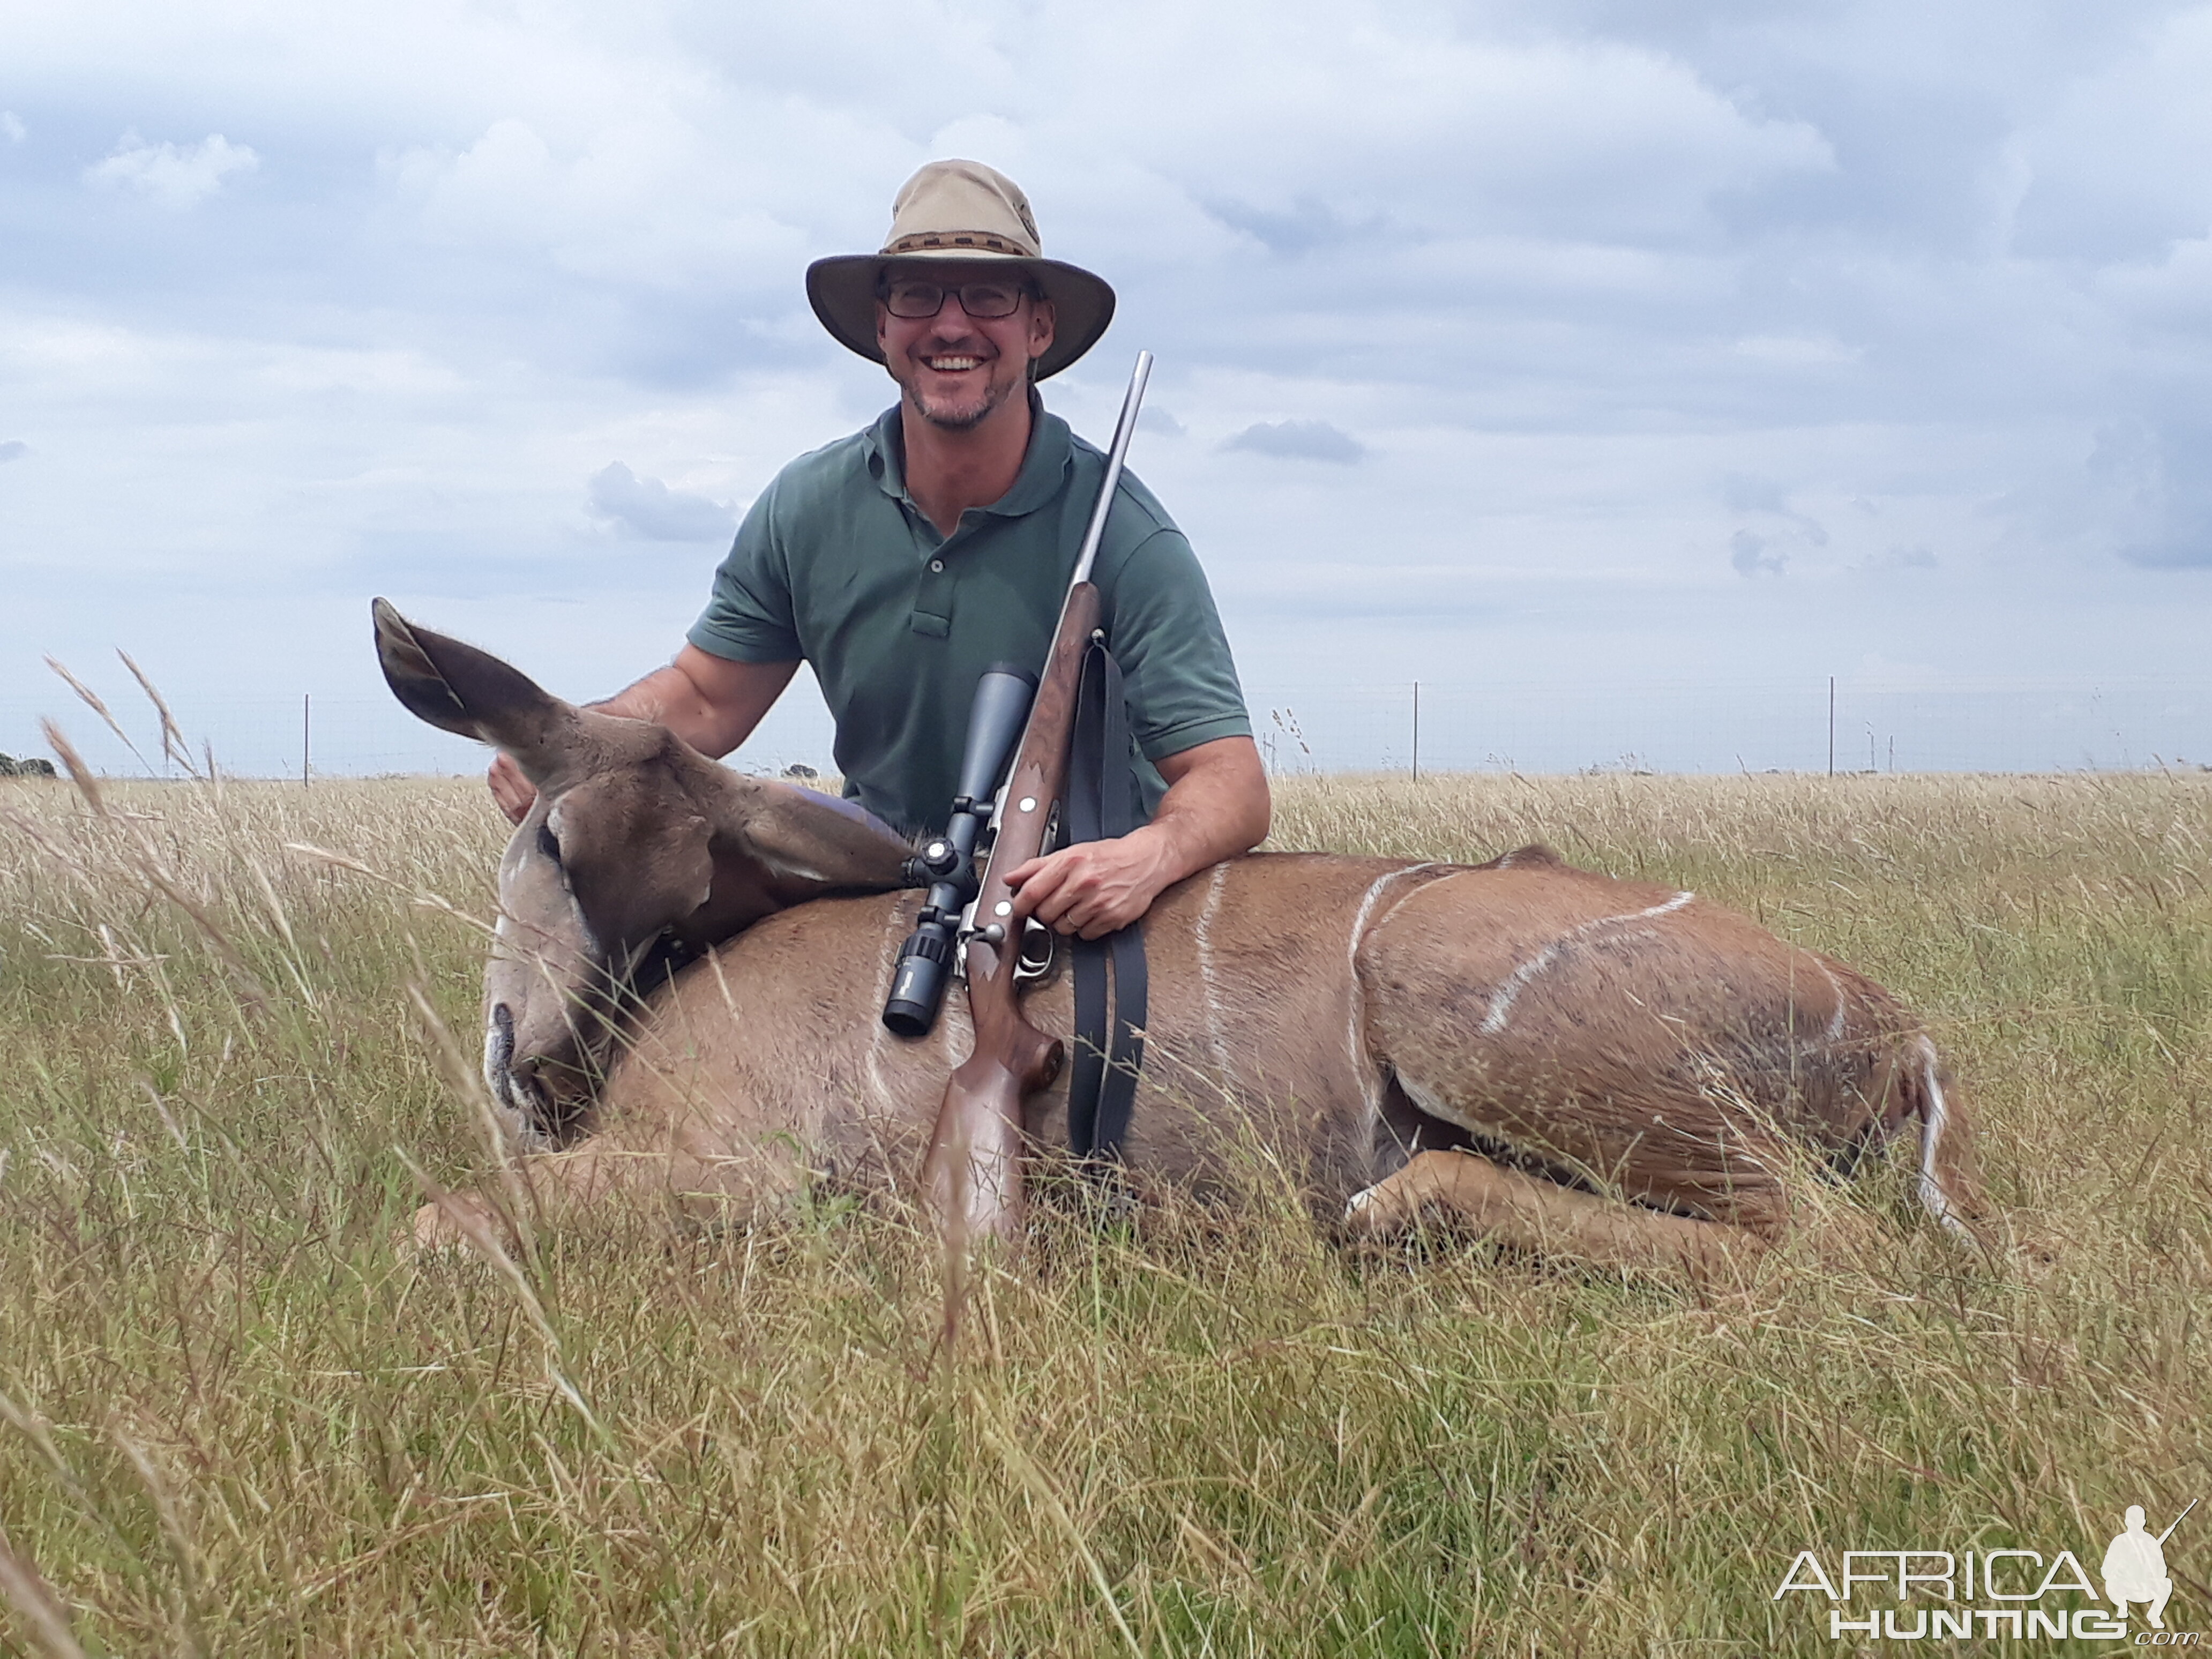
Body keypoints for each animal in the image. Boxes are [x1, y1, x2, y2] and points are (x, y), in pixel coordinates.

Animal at [376, 606, 1991, 1283]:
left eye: (550, 840)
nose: (528, 1071)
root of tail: (1895, 1029)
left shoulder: (752, 1174)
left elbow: (437, 1220)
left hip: (1479, 1023)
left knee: (1817, 1240)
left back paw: (1387, 1215)